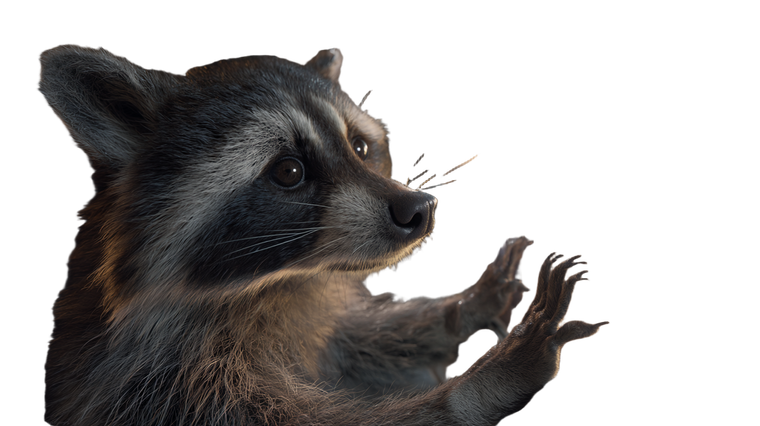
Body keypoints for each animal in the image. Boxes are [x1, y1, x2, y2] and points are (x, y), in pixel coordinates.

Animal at [40, 45, 608, 425]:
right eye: (289, 171)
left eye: (358, 147)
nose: (419, 208)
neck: (268, 286)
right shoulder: (157, 383)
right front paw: (477, 390)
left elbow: (352, 341)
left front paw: (456, 310)